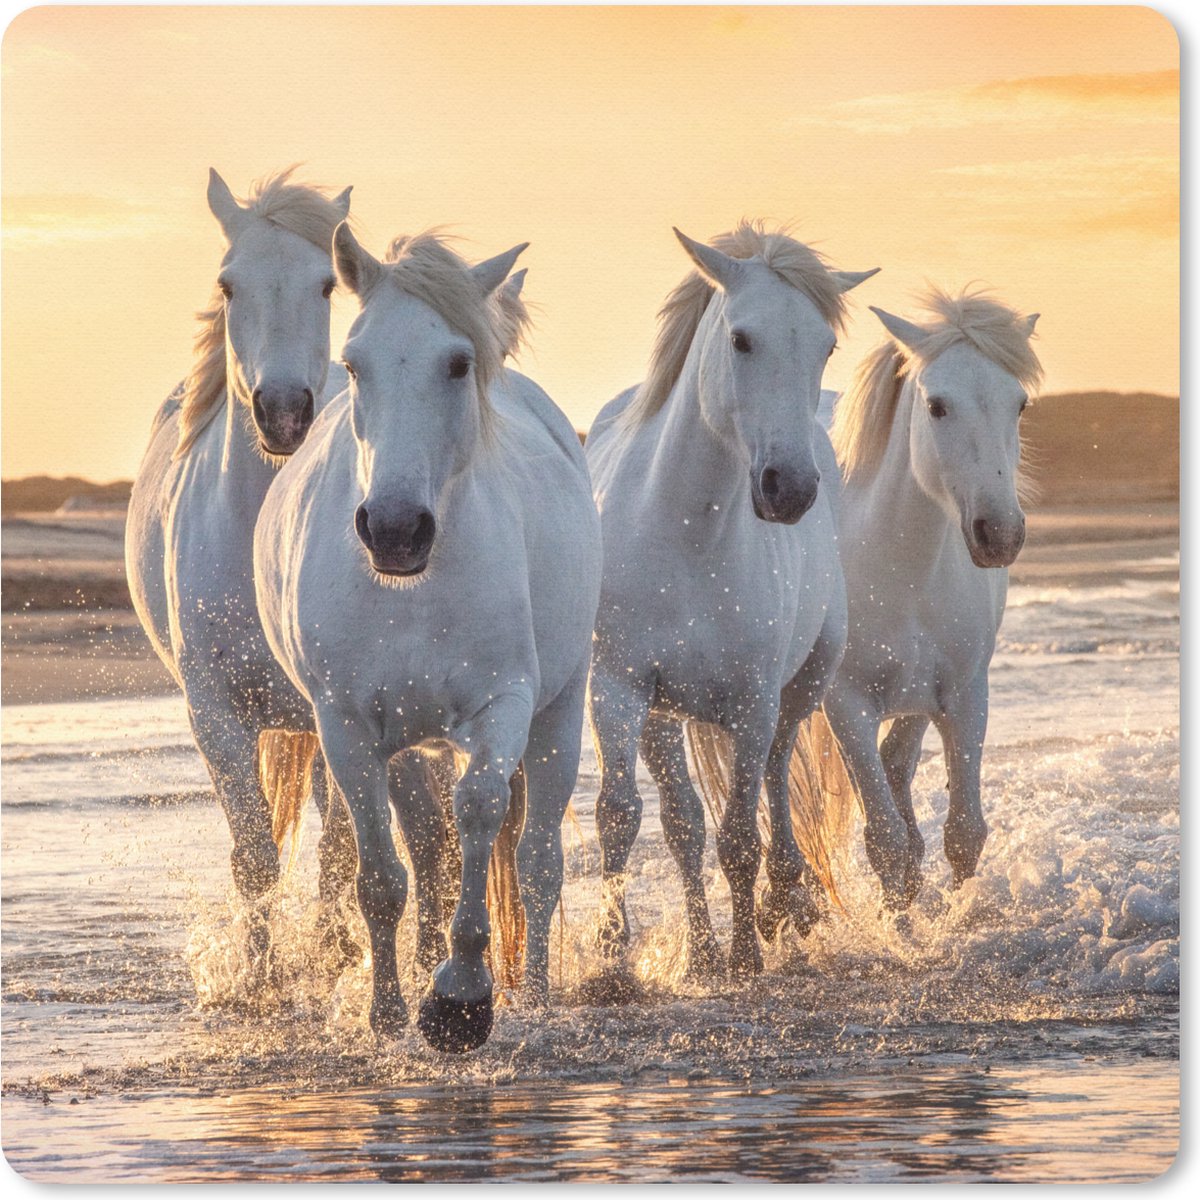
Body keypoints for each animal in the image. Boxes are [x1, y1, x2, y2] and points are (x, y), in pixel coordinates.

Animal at [125, 168, 356, 970]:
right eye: (228, 284)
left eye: (327, 284)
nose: (284, 413)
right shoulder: (215, 716)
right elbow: (254, 858)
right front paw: (259, 979)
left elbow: (341, 854)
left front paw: (336, 960)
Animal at [254, 227, 602, 1051]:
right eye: (354, 363)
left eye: (457, 362)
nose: (394, 529)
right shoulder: (346, 726)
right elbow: (383, 875)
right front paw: (387, 1013)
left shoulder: (504, 705)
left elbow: (478, 812)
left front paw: (461, 997)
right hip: (410, 745)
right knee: (427, 851)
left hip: (560, 712)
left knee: (538, 862)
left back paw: (535, 992)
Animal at [584, 222, 878, 979]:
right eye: (742, 339)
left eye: (824, 346)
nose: (789, 489)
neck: (686, 534)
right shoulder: (619, 689)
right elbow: (623, 817)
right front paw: (614, 960)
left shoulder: (751, 701)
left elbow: (743, 831)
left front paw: (747, 951)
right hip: (664, 714)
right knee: (684, 822)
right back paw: (703, 949)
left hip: (799, 688)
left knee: (775, 779)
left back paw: (783, 902)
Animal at [818, 289, 1041, 908]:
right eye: (937, 406)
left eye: (1019, 405)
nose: (1000, 534)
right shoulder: (846, 706)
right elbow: (886, 845)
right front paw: (903, 927)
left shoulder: (964, 695)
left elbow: (965, 833)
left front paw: (954, 917)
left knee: (897, 763)